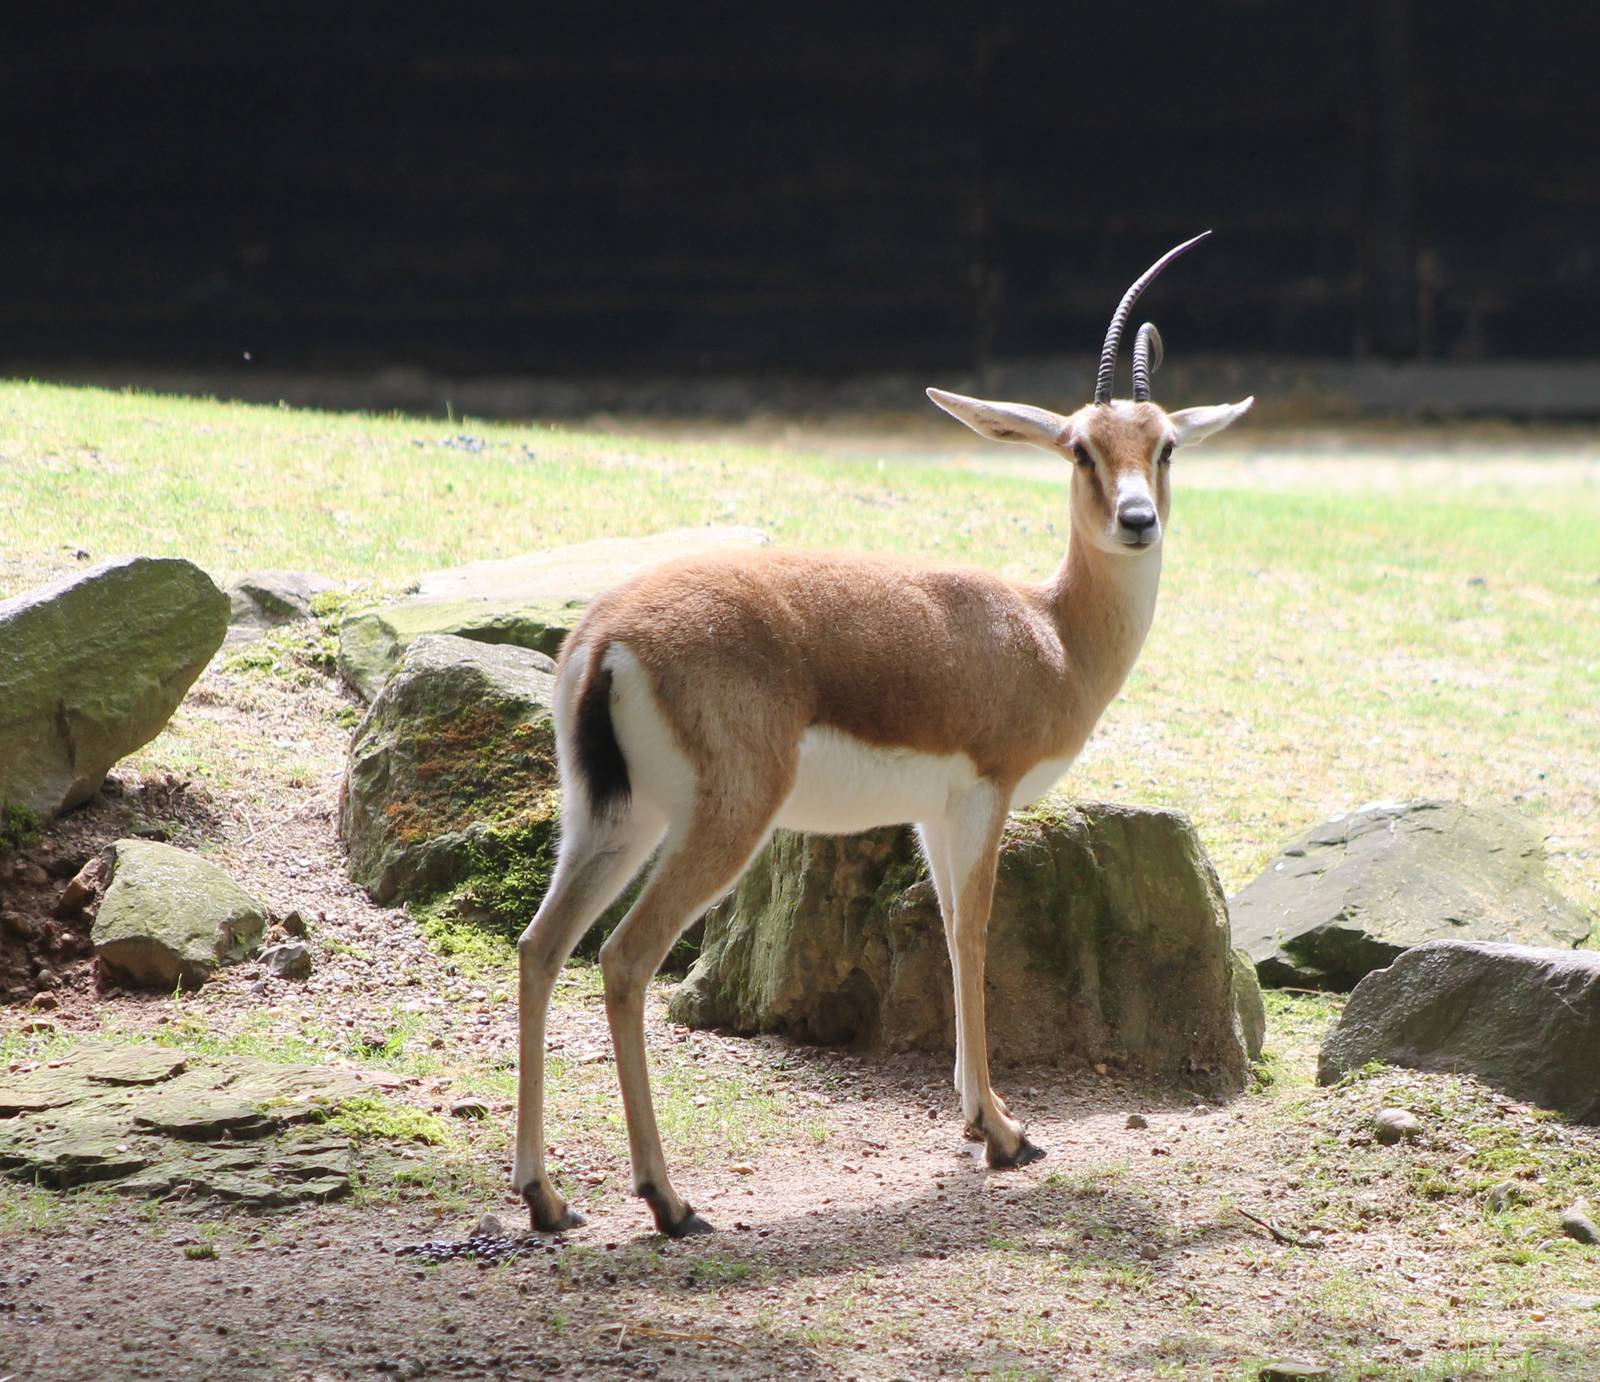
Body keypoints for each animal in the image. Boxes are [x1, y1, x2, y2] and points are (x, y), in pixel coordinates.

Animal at [513, 232, 1252, 1237]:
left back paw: (545, 1197)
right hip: (721, 822)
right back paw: (668, 1199)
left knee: (540, 947)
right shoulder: (985, 793)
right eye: (1080, 449)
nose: (1137, 521)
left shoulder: (933, 814)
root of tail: (605, 638)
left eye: (1165, 445)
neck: (1049, 633)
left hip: (612, 819)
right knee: (625, 959)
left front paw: (983, 1120)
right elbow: (975, 931)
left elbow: (945, 926)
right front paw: (1006, 1134)